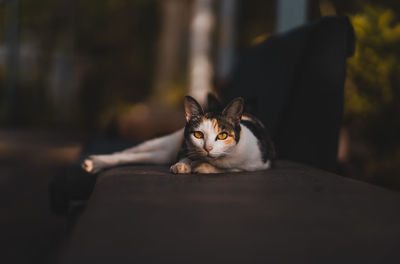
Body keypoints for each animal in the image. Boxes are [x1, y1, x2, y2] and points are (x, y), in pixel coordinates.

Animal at [82, 94, 274, 174]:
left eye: (222, 136)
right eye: (198, 135)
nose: (208, 148)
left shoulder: (259, 164)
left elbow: (230, 168)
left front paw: (202, 167)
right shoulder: (183, 148)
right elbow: (184, 157)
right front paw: (183, 165)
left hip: (160, 155)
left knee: (135, 157)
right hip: (162, 144)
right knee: (127, 153)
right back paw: (94, 162)